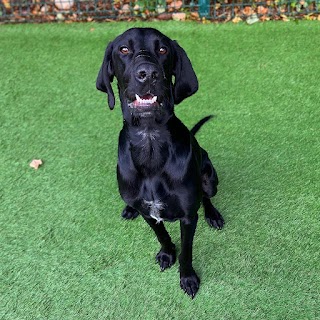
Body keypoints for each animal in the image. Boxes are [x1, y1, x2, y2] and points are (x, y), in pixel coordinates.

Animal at [96, 26, 224, 298]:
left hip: (210, 177)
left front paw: (187, 277)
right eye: (124, 49)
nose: (148, 73)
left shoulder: (188, 217)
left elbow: (187, 251)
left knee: (207, 196)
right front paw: (167, 253)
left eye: (163, 49)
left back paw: (213, 214)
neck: (150, 141)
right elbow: (162, 235)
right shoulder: (148, 211)